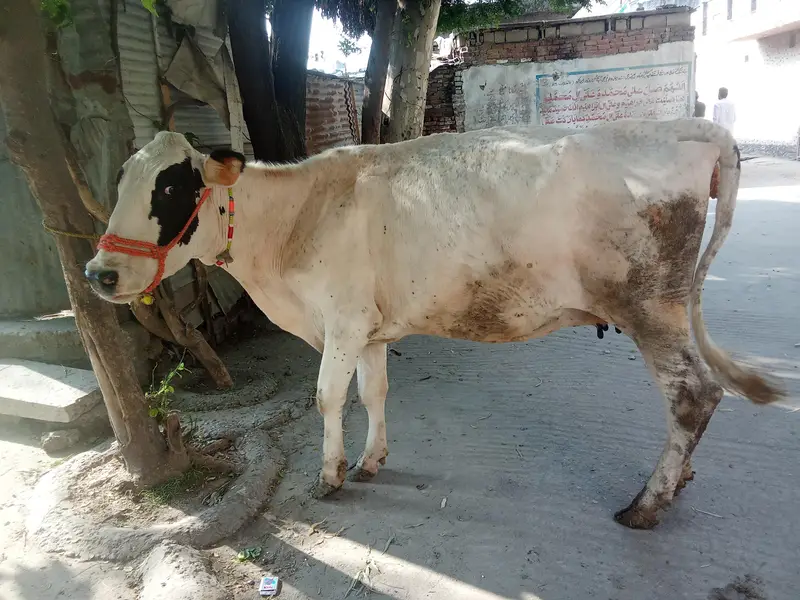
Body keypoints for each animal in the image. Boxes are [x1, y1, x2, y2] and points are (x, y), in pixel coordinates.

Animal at [85, 118, 782, 529]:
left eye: (169, 189)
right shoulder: (369, 327)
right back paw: (678, 479)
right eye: (119, 184)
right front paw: (372, 461)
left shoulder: (341, 321)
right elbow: (374, 392)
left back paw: (647, 503)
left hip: (651, 308)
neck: (296, 222)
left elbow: (328, 397)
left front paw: (331, 475)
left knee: (693, 395)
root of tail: (690, 125)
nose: (99, 273)